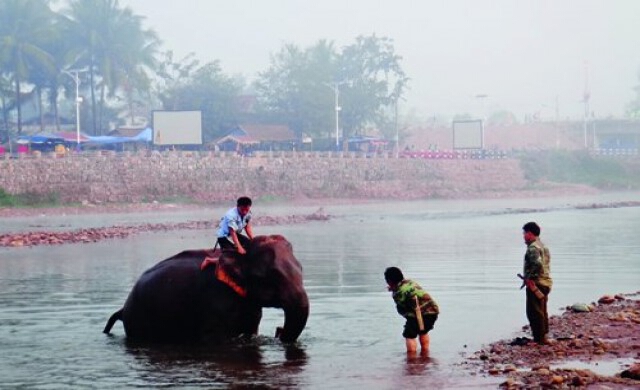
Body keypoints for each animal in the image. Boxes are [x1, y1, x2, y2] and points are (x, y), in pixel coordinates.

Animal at [102, 233, 308, 342]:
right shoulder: (216, 305)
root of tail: (123, 309)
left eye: (301, 269)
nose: (278, 330)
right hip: (138, 323)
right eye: (265, 277)